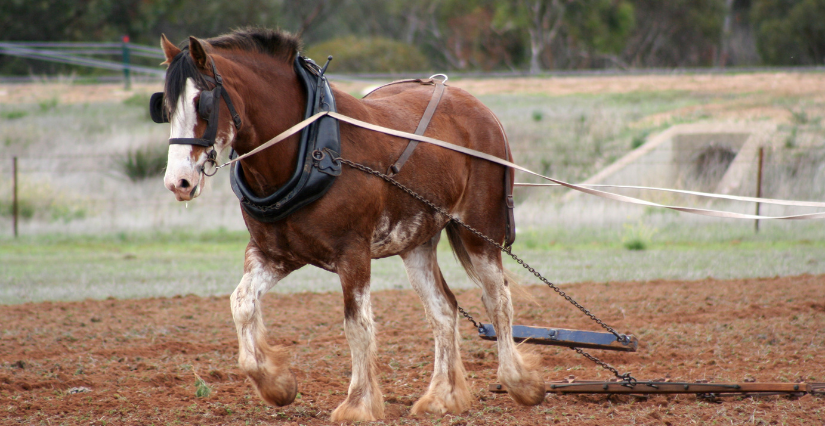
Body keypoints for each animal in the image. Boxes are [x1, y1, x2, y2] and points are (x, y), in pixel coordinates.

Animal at [158, 28, 545, 421]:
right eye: (165, 108)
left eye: (202, 103)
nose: (177, 182)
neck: (311, 151)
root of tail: (481, 109)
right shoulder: (274, 254)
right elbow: (242, 303)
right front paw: (276, 384)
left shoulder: (353, 253)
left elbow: (356, 325)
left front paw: (358, 403)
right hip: (416, 242)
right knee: (443, 310)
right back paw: (442, 396)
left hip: (479, 232)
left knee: (497, 300)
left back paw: (518, 382)